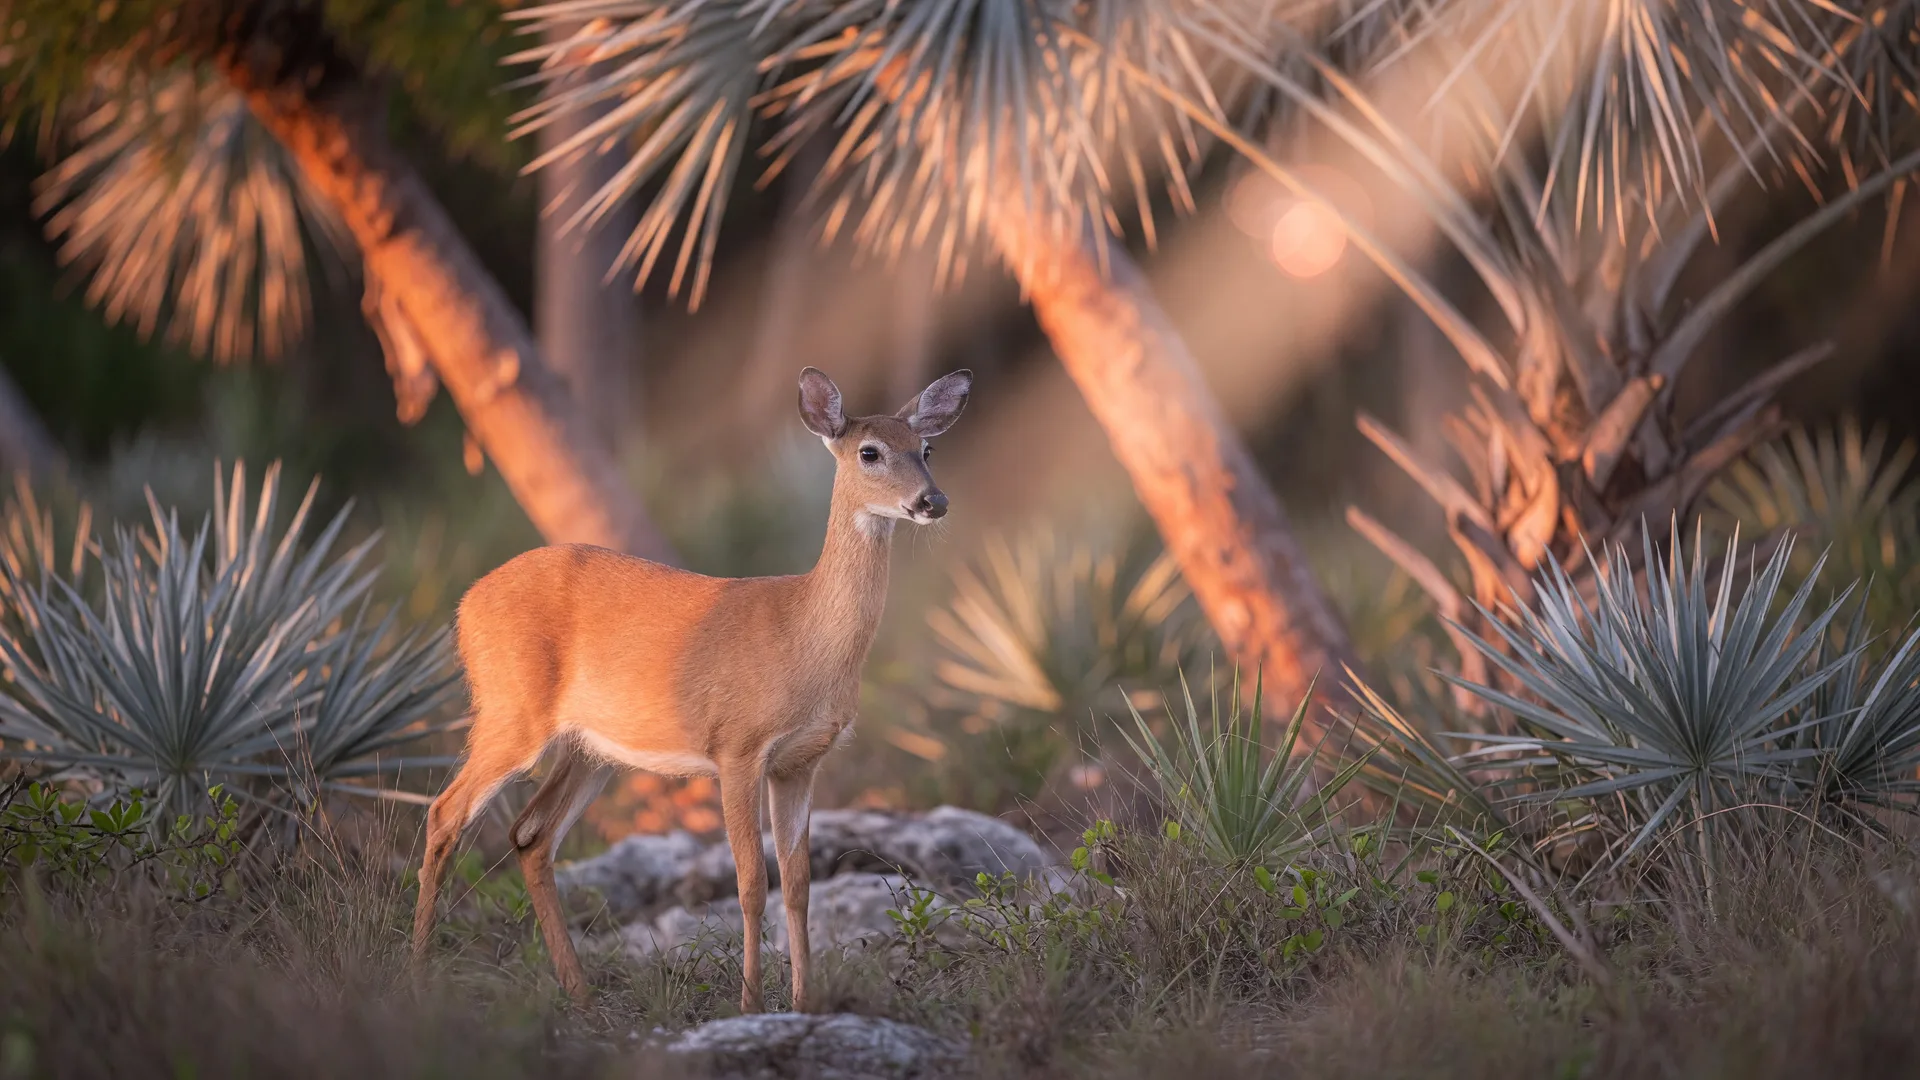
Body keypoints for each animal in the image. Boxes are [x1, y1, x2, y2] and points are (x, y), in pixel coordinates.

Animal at [409, 366, 972, 1013]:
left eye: (927, 449)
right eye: (869, 452)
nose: (933, 501)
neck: (803, 635)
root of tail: (465, 605)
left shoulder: (800, 763)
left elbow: (799, 884)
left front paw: (805, 1002)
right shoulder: (737, 747)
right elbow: (752, 881)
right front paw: (751, 1003)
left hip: (590, 750)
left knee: (531, 835)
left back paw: (580, 992)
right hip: (511, 710)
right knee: (445, 813)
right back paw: (418, 975)